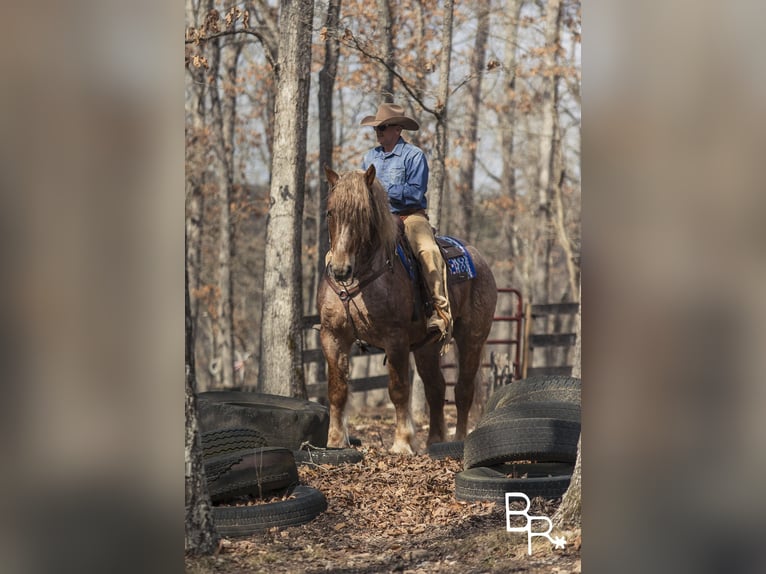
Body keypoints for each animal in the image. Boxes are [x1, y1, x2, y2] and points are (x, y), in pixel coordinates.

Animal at [316, 165, 500, 454]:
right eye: (330, 212)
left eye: (364, 214)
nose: (340, 269)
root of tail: (477, 258)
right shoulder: (332, 335)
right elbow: (337, 388)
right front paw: (335, 441)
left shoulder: (396, 339)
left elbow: (399, 388)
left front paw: (402, 442)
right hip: (427, 347)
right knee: (436, 388)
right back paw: (435, 440)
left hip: (472, 338)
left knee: (463, 390)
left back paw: (458, 439)